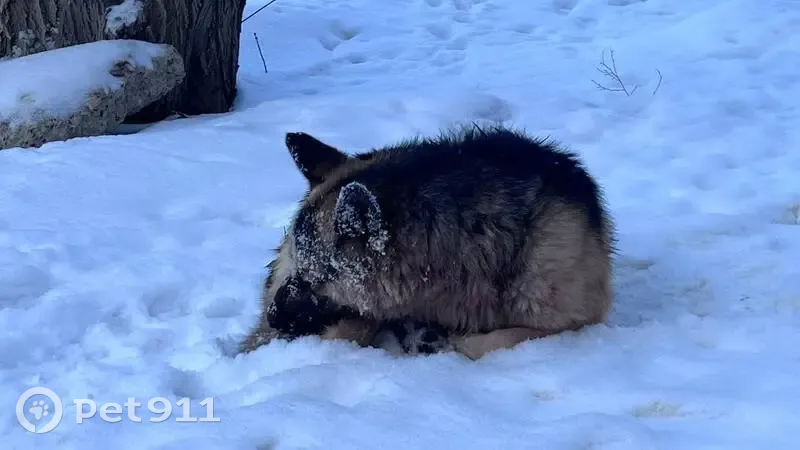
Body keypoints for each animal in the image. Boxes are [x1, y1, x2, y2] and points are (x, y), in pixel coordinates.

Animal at [239, 124, 615, 359]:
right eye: (297, 263)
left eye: (313, 278)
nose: (273, 316)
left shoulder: (575, 322)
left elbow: (495, 341)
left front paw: (437, 339)